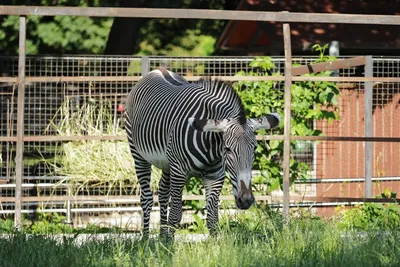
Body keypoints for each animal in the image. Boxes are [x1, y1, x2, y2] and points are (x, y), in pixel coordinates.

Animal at [125, 67, 282, 239]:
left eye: (254, 149)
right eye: (227, 149)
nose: (246, 200)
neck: (211, 148)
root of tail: (157, 70)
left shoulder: (215, 177)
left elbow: (212, 220)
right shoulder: (179, 172)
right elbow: (175, 215)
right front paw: (169, 246)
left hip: (166, 163)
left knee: (163, 192)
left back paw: (161, 236)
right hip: (138, 155)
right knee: (146, 197)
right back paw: (146, 239)